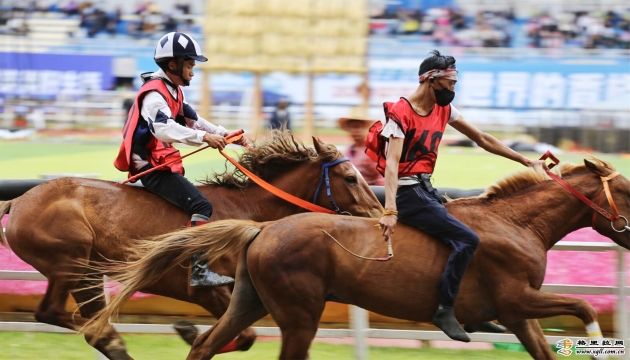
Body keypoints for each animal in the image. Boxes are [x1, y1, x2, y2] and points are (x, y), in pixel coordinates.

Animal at [0, 131, 382, 358]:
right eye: (351, 177)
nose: (379, 215)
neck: (250, 210)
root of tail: (17, 202)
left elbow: (244, 338)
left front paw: (187, 331)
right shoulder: (208, 291)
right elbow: (241, 336)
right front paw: (187, 331)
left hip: (88, 273)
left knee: (91, 325)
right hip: (71, 260)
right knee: (56, 313)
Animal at [85, 158, 630, 360]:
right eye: (625, 187)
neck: (517, 223)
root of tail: (264, 228)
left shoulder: (517, 313)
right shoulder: (518, 298)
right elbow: (584, 307)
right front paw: (599, 341)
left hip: (249, 302)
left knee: (205, 346)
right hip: (299, 315)